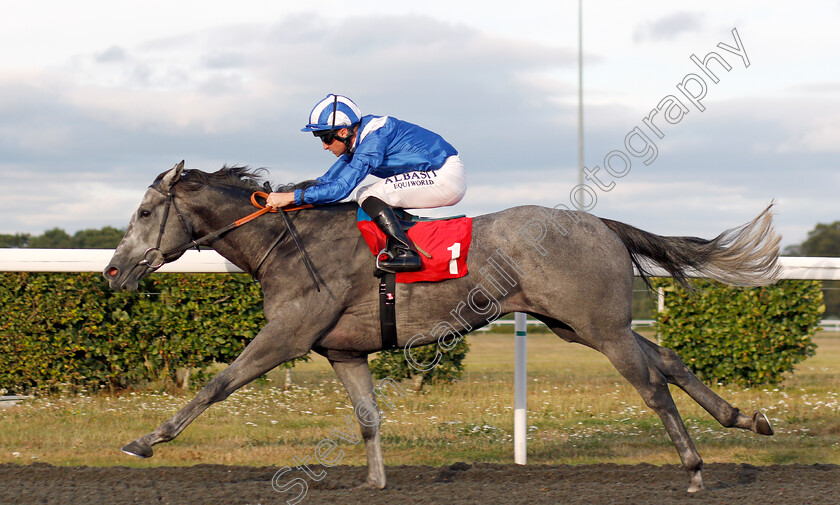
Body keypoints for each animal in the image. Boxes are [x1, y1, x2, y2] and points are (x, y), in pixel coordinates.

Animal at [105, 162, 780, 492]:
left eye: (144, 211)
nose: (113, 270)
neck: (290, 243)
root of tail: (601, 224)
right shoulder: (342, 352)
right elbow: (368, 418)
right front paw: (375, 481)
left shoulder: (287, 336)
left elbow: (216, 385)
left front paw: (145, 440)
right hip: (575, 323)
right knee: (669, 361)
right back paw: (745, 419)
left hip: (600, 327)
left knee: (652, 385)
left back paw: (693, 468)